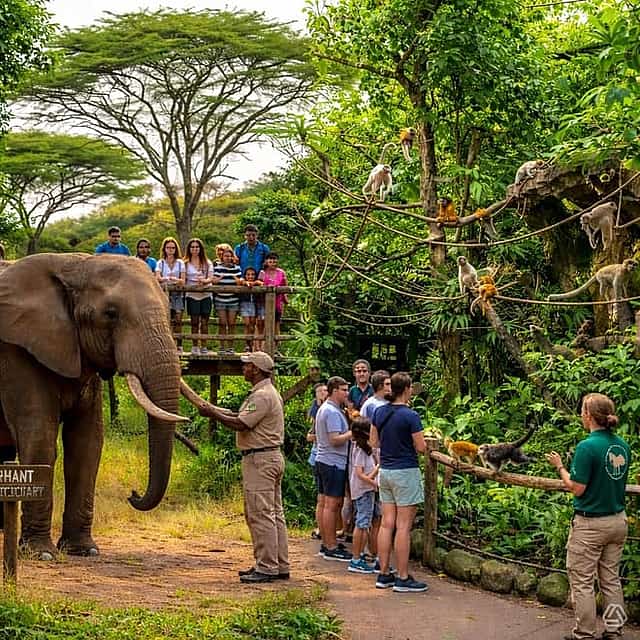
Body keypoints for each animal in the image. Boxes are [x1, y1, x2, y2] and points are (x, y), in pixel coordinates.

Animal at [0, 253, 188, 558]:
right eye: (110, 314)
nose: (133, 494)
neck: (74, 265)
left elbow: (87, 442)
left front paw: (83, 550)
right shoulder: (15, 352)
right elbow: (40, 437)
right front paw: (41, 553)